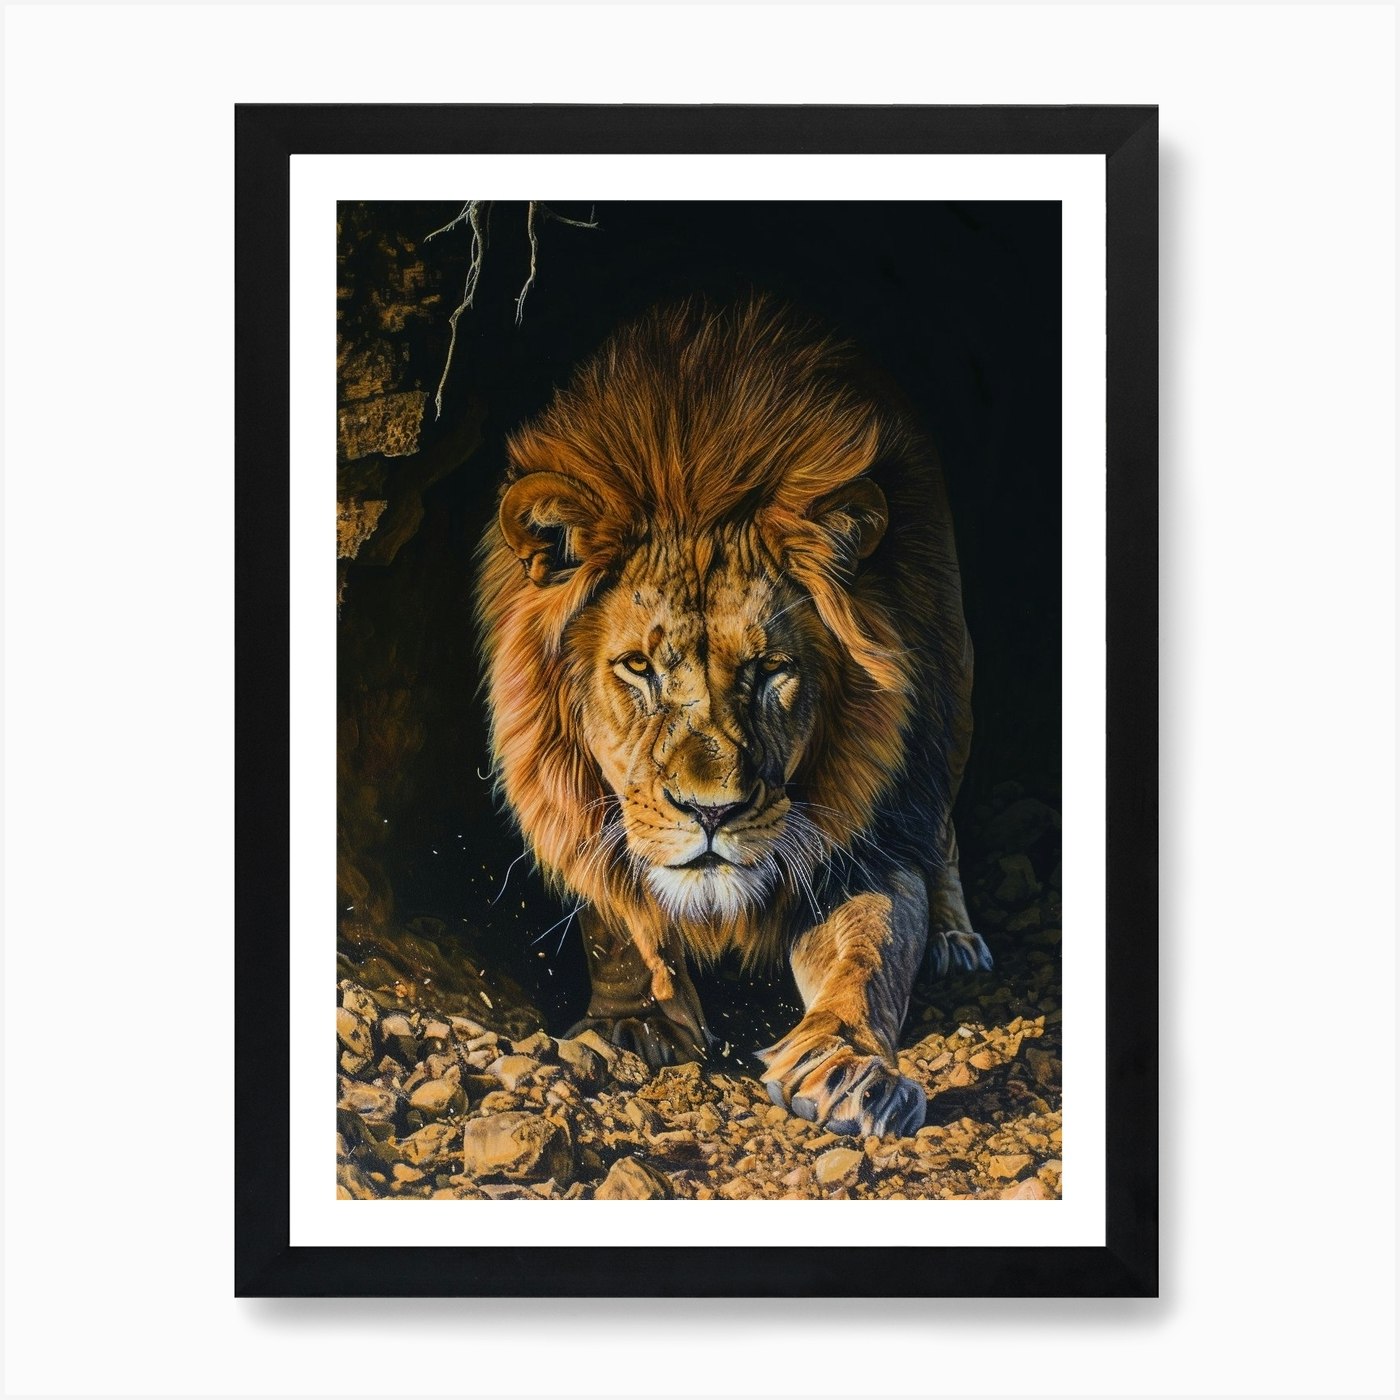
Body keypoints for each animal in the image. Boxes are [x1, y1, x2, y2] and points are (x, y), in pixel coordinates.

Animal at [477, 297, 991, 1139]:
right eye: (639, 667)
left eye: (768, 671)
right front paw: (632, 1023)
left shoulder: (861, 841)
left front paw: (848, 1066)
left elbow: (872, 948)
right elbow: (614, 919)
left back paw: (956, 937)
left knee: (940, 822)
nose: (710, 812)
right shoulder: (584, 812)